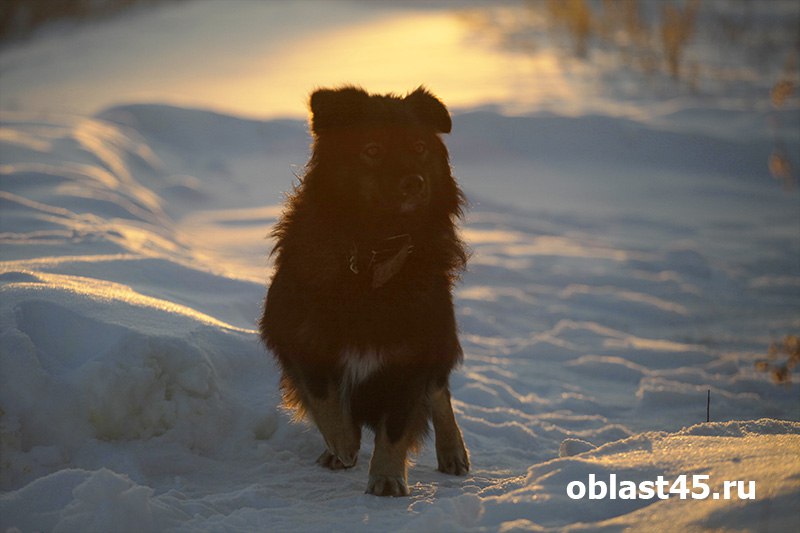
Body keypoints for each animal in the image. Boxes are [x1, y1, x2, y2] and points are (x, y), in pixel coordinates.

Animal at [260, 84, 468, 494]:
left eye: (420, 147)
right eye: (372, 149)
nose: (414, 182)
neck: (373, 249)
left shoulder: (413, 351)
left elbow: (397, 424)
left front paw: (386, 477)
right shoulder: (298, 335)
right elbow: (325, 399)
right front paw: (343, 443)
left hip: (441, 332)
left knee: (440, 392)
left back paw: (453, 451)